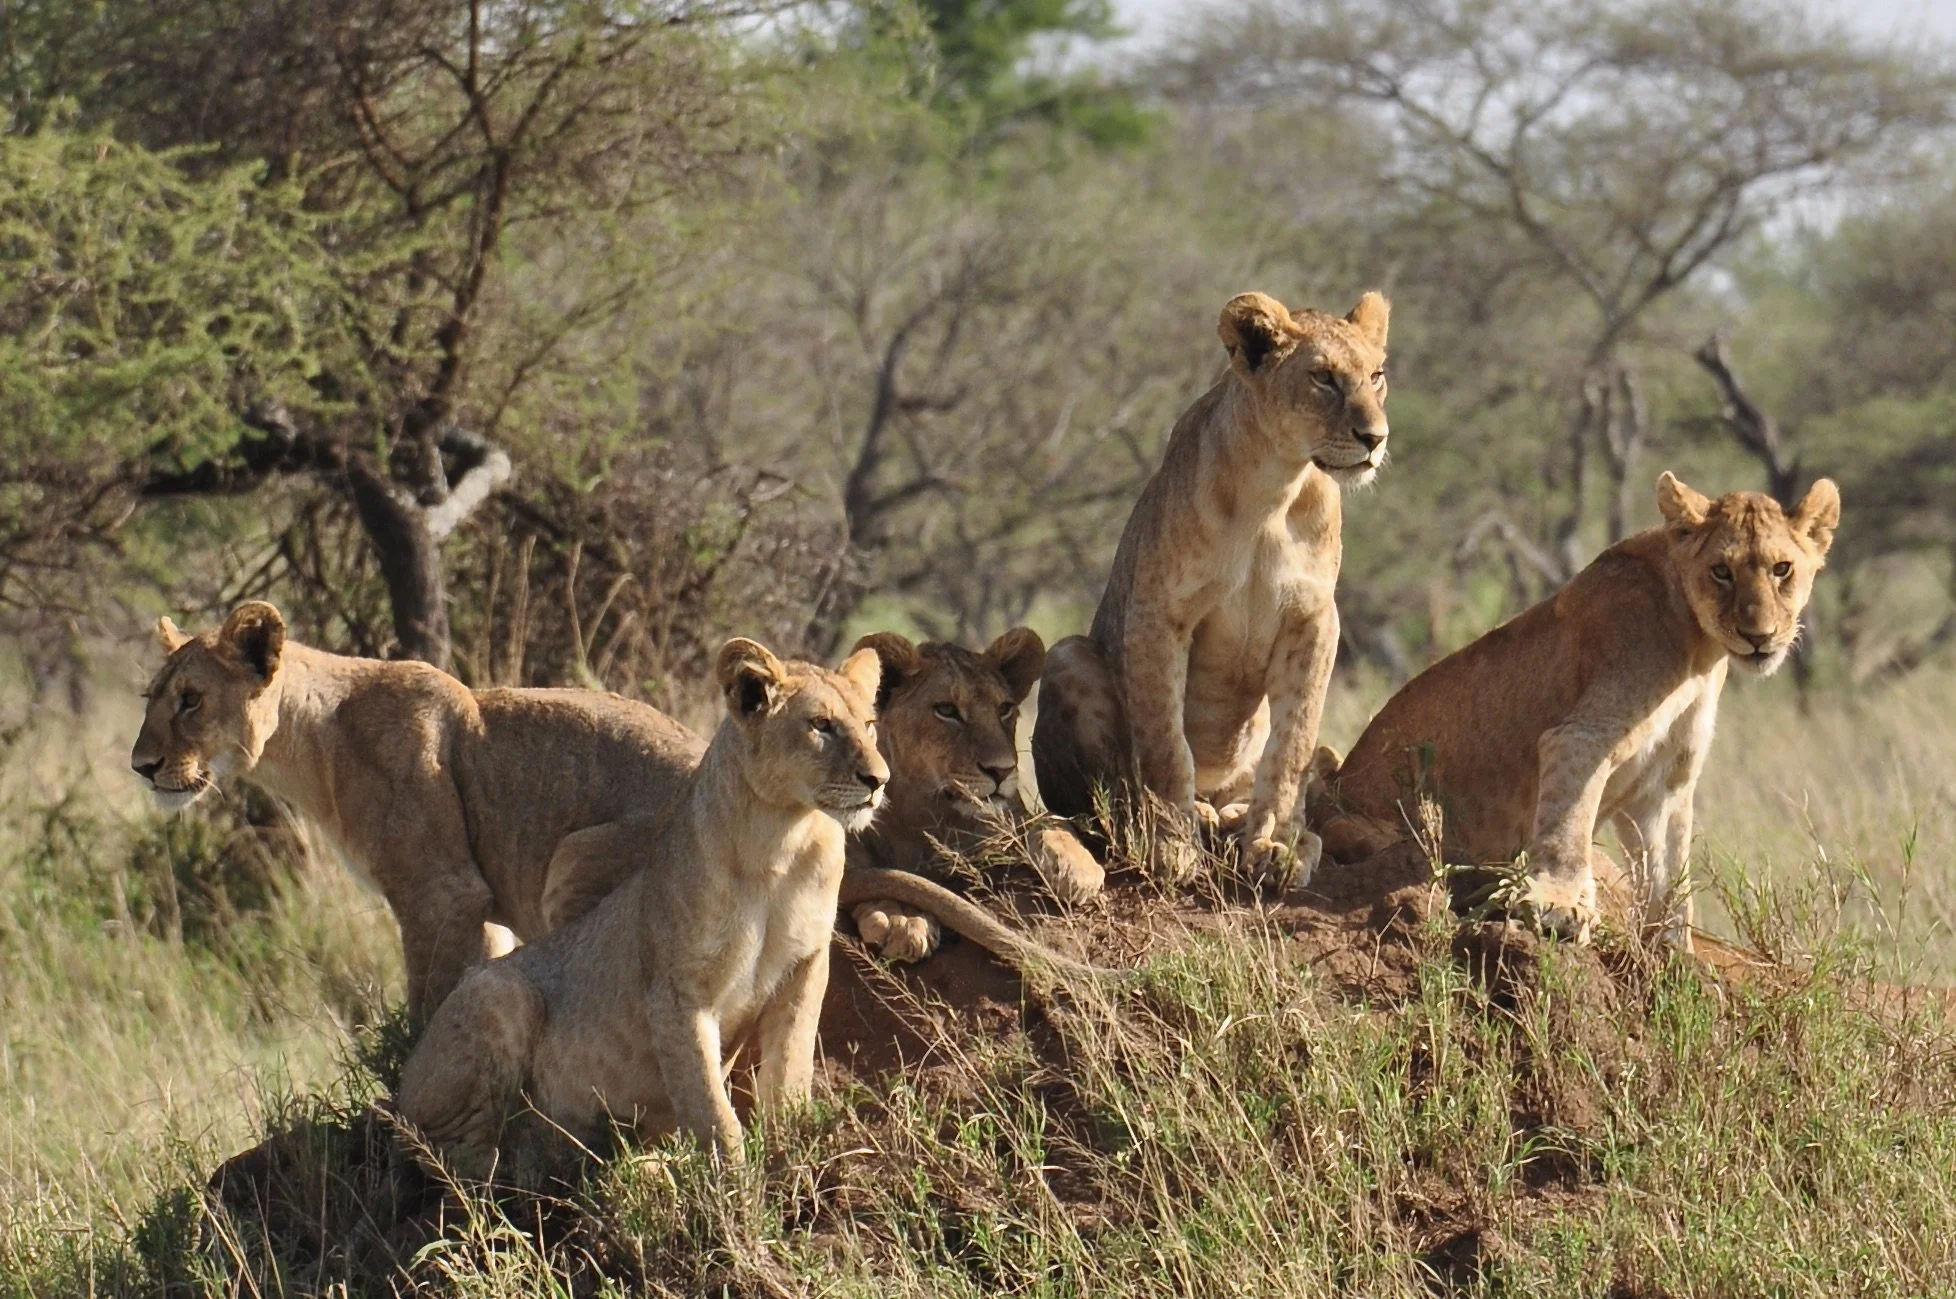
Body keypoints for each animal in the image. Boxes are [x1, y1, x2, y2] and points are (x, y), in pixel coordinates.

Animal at [129, 602, 702, 1026]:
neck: (311, 743)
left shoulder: (441, 893)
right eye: (149, 697)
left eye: (191, 700)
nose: (141, 766)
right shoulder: (477, 909)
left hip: (574, 860)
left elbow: (428, 1006)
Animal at [395, 637, 887, 1176]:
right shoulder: (677, 991)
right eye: (820, 724)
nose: (879, 779)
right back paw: (556, 1166)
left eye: (869, 724)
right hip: (498, 994)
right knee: (451, 1154)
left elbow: (789, 1075)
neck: (782, 838)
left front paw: (795, 1160)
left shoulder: (805, 966)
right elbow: (710, 1109)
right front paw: (736, 1188)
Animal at [843, 629, 1105, 963]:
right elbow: (873, 873)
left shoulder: (1006, 822)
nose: (1002, 771)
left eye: (1004, 709)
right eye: (946, 710)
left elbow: (1050, 820)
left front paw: (1076, 868)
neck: (929, 810)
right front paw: (901, 918)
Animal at [1032, 289, 1391, 886]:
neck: (1275, 485)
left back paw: (1245, 819)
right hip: (1067, 655)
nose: (1375, 438)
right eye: (1323, 378)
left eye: (1377, 375)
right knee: (1110, 794)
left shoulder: (1315, 618)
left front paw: (1277, 844)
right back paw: (1176, 816)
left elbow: (1292, 743)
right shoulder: (1159, 612)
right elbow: (1165, 742)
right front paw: (1172, 842)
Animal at [1312, 471, 1841, 944]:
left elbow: (1671, 880)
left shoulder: (1664, 784)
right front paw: (1559, 907)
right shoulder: (1582, 735)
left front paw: (1672, 956)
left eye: (1781, 569)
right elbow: (1568, 823)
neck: (1700, 651)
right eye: (1722, 572)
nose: (1759, 636)